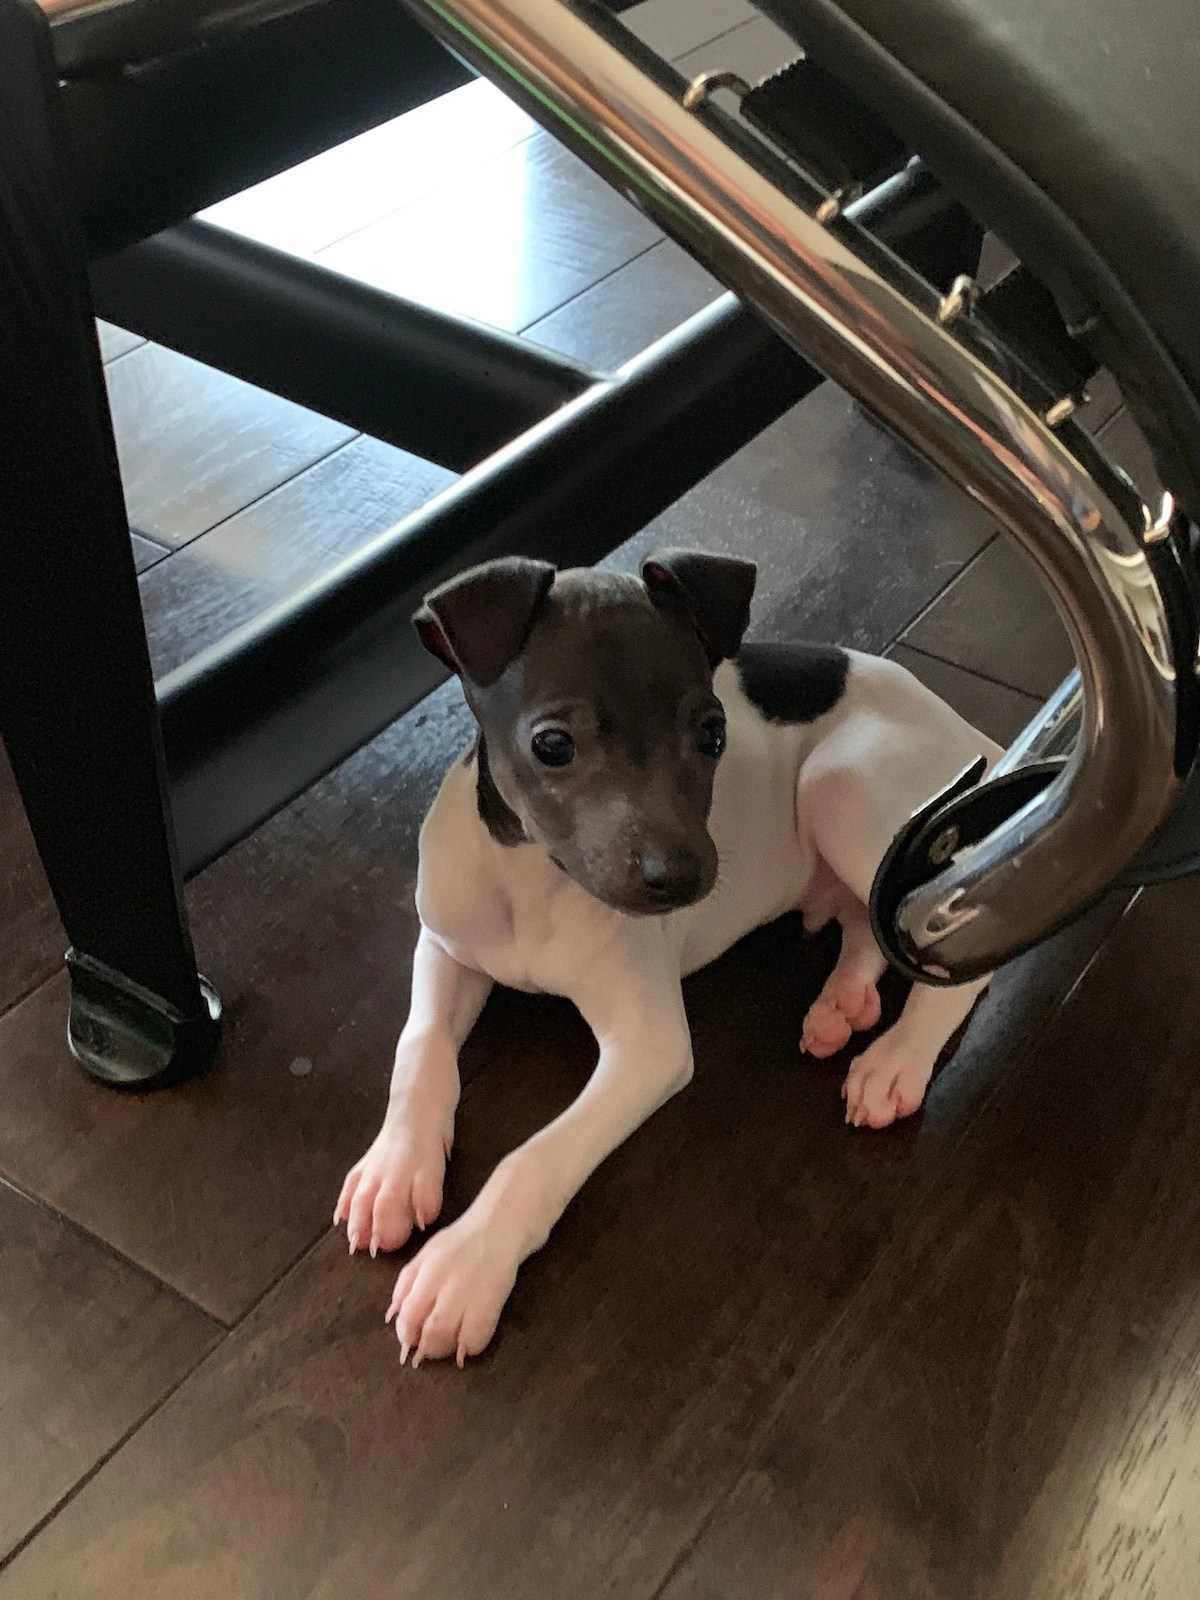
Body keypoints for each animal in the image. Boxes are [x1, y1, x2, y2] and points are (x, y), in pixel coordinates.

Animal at [335, 549, 1000, 1366]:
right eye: (552, 745)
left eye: (713, 734)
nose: (681, 879)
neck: (534, 880)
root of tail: (966, 730)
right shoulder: (446, 946)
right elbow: (420, 1048)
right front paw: (395, 1168)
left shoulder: (649, 1050)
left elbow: (535, 1158)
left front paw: (465, 1267)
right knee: (863, 920)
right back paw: (842, 1004)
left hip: (842, 785)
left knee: (950, 954)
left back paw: (896, 1060)